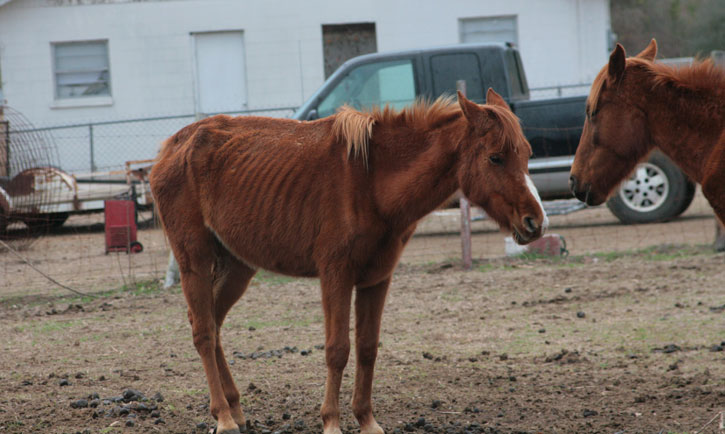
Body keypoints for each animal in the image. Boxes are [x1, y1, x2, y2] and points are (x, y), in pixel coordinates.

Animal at [149, 88, 548, 434]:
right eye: (495, 157)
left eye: (527, 153)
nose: (536, 222)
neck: (372, 182)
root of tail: (173, 146)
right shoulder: (336, 276)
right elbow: (337, 349)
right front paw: (331, 422)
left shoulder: (376, 279)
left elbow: (367, 349)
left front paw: (367, 421)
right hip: (194, 261)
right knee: (204, 332)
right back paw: (224, 417)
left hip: (237, 267)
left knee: (212, 325)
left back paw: (235, 409)